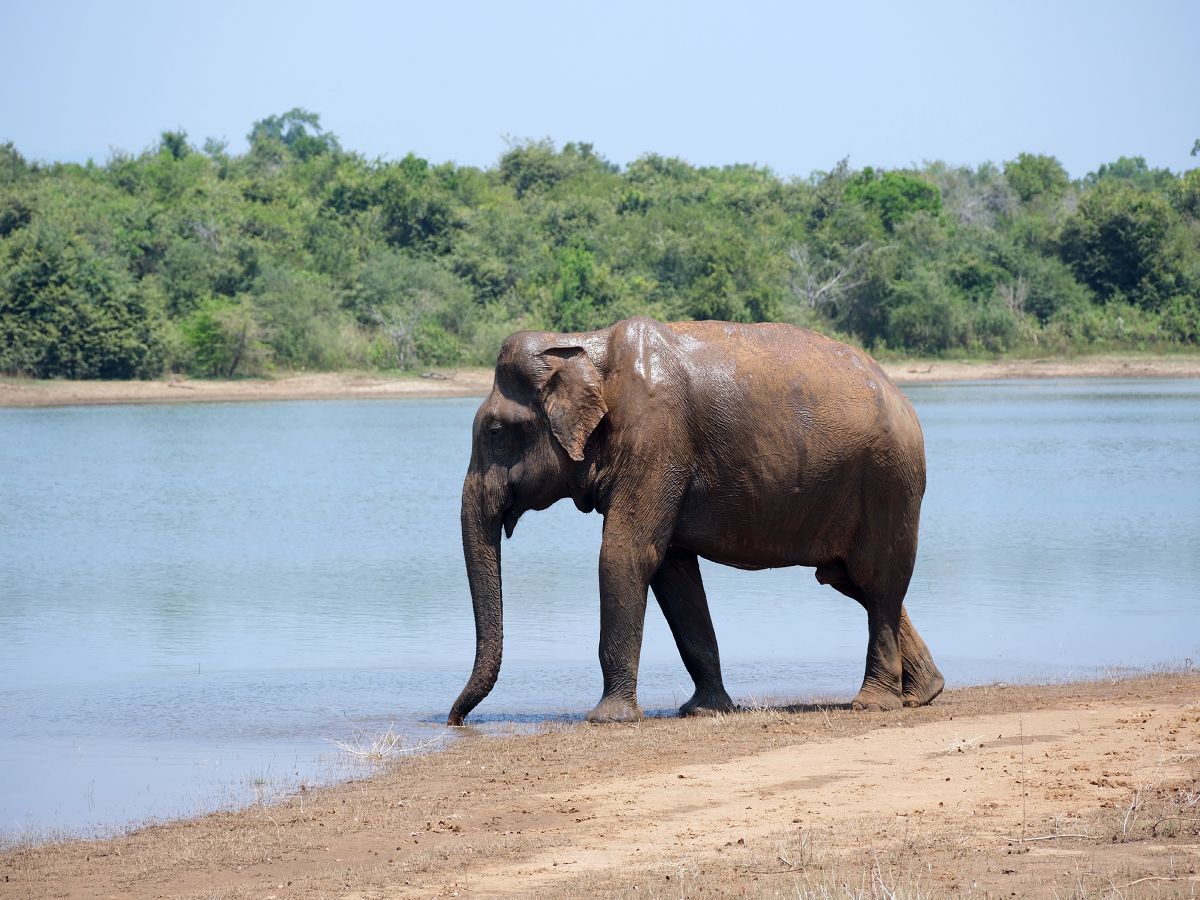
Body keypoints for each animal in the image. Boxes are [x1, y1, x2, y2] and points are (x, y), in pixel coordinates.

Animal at [447, 316, 943, 726]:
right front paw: (704, 710)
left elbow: (625, 555)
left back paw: (874, 704)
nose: (454, 721)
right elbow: (674, 572)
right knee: (849, 579)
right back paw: (924, 693)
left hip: (888, 481)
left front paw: (608, 719)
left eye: (494, 431)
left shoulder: (655, 439)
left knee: (877, 583)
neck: (581, 344)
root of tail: (903, 399)